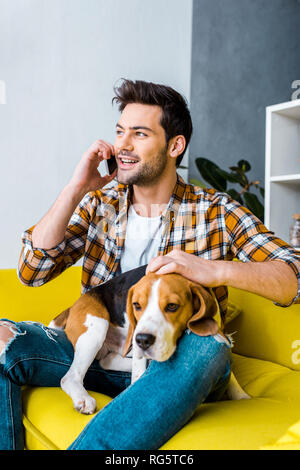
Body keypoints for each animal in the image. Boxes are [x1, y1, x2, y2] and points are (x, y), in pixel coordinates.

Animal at [50, 264, 250, 414]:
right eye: (136, 305)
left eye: (172, 306)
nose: (142, 340)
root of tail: (74, 305)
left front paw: (241, 396)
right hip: (97, 328)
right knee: (70, 377)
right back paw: (83, 399)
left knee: (106, 361)